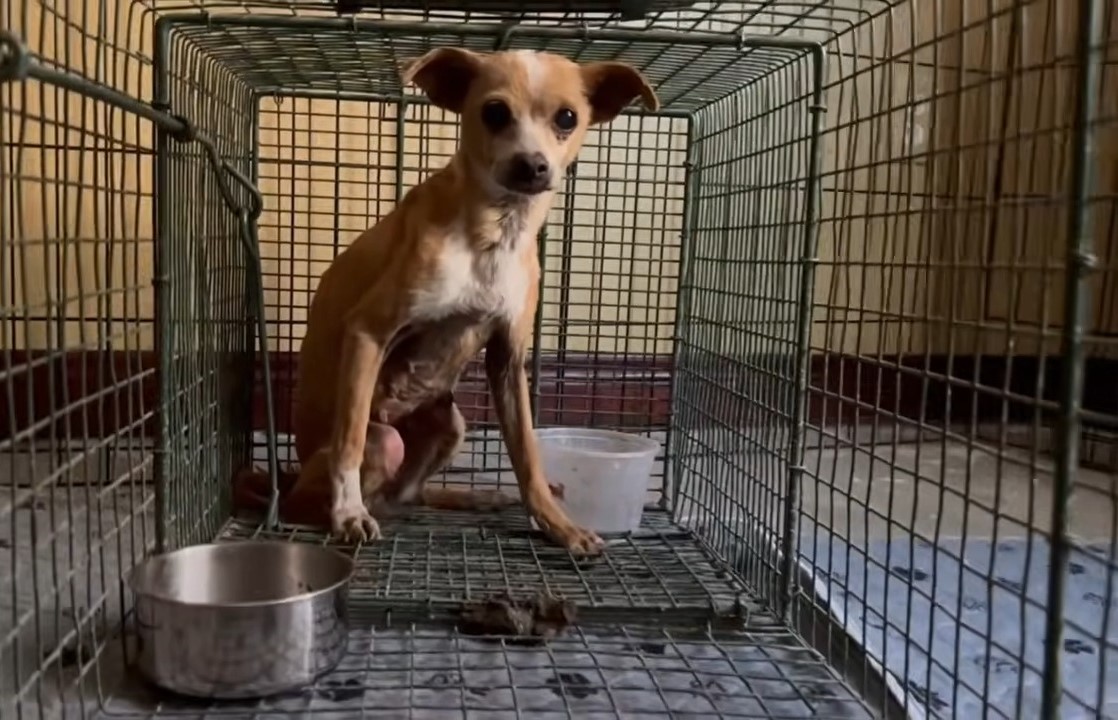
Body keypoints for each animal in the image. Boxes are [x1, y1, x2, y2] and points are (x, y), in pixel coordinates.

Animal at [232, 49, 657, 556]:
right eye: (494, 112)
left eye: (567, 118)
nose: (532, 165)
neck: (496, 232)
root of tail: (291, 478)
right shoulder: (368, 332)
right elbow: (349, 443)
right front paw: (348, 513)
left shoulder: (508, 361)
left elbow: (528, 457)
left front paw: (557, 524)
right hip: (383, 442)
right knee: (335, 491)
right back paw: (350, 510)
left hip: (452, 426)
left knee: (407, 495)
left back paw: (475, 496)